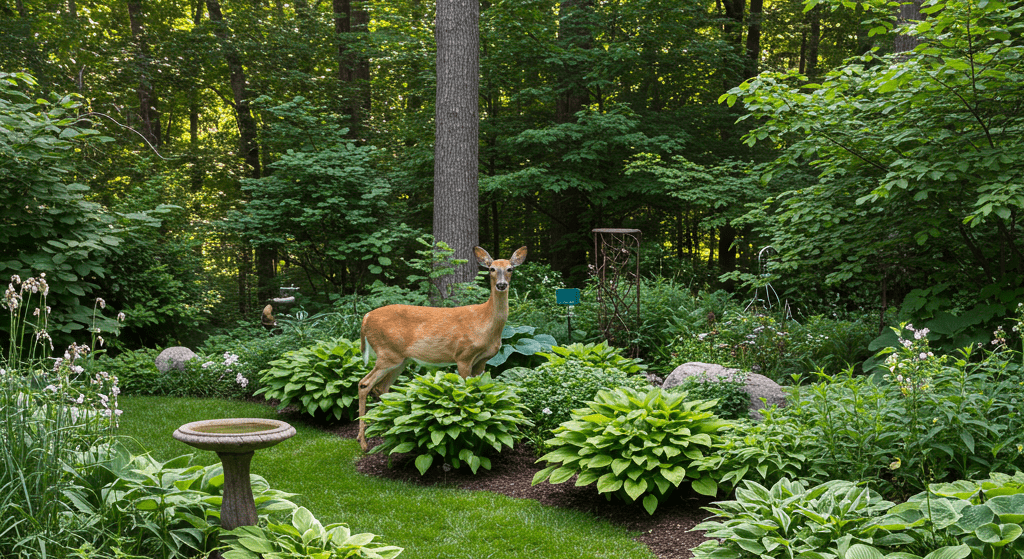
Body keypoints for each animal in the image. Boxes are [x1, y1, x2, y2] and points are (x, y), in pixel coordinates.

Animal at [356, 246, 528, 452]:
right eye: (491, 269)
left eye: (510, 268)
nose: (501, 285)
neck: (485, 323)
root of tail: (365, 319)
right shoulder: (463, 355)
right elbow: (465, 391)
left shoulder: (482, 360)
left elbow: (480, 391)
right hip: (387, 353)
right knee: (364, 384)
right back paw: (363, 441)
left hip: (400, 359)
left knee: (381, 388)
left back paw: (390, 429)